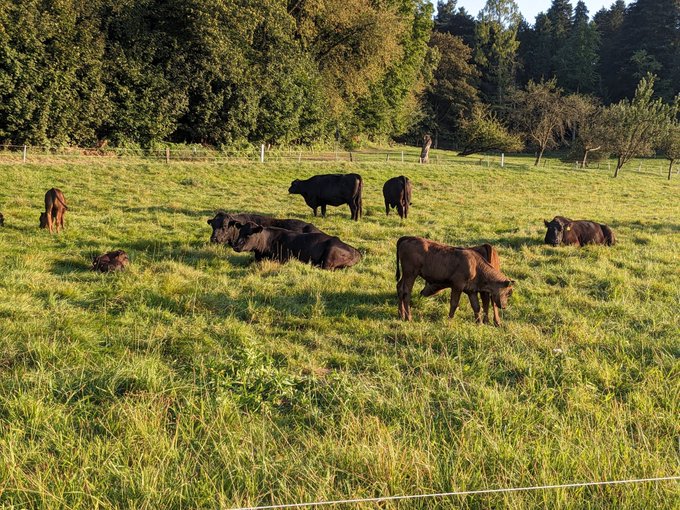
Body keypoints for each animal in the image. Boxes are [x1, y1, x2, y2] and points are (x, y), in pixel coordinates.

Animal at [231, 221, 361, 270]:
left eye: (249, 234)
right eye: (240, 232)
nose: (235, 246)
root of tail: (357, 252)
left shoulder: (285, 259)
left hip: (329, 256)